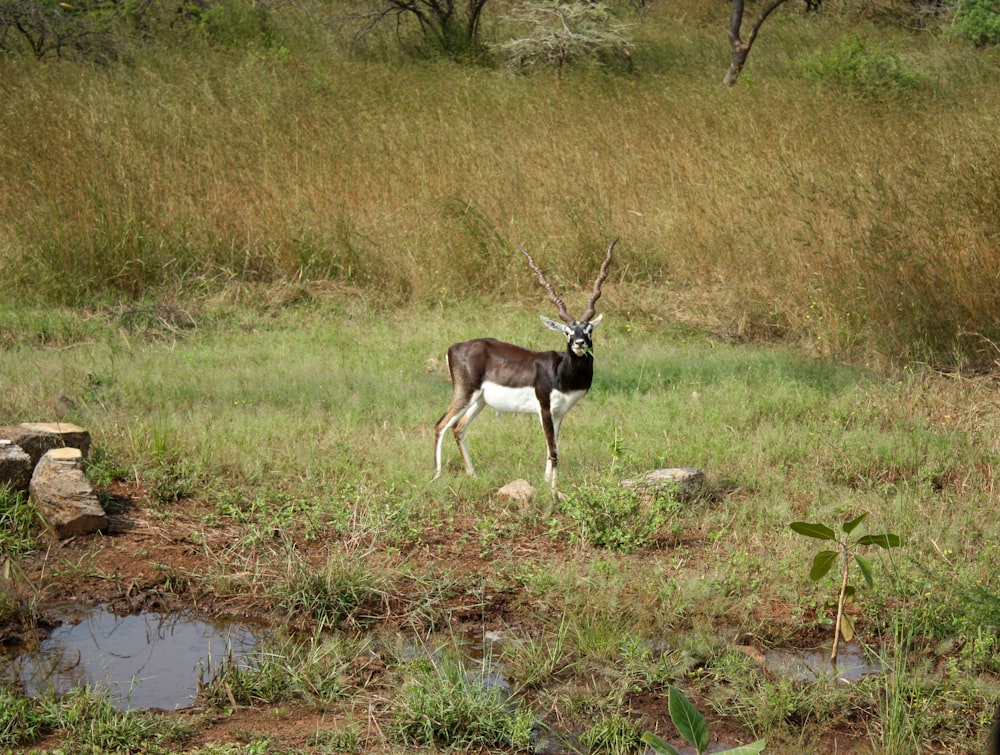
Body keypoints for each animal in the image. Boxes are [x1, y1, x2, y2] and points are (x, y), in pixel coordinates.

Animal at [432, 239, 612, 494]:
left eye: (588, 329)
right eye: (567, 331)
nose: (579, 343)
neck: (560, 373)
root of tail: (453, 347)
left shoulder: (559, 413)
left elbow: (551, 448)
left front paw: (547, 483)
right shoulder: (544, 409)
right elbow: (554, 452)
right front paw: (553, 491)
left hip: (480, 401)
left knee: (458, 428)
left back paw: (472, 474)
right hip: (465, 393)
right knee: (440, 425)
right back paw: (437, 476)